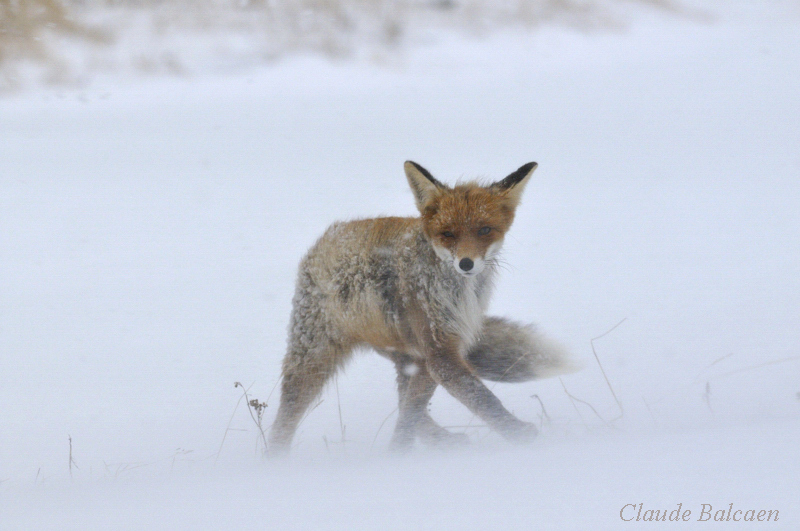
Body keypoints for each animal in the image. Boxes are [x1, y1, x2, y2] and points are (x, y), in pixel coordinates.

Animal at [268, 161, 576, 454]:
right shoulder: (439, 352)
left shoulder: (441, 349)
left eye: (485, 230)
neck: (458, 293)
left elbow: (416, 410)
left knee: (407, 402)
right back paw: (274, 459)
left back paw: (441, 440)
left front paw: (400, 452)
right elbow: (481, 398)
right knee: (286, 416)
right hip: (313, 358)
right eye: (448, 234)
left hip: (408, 355)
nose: (466, 263)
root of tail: (324, 238)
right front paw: (523, 437)